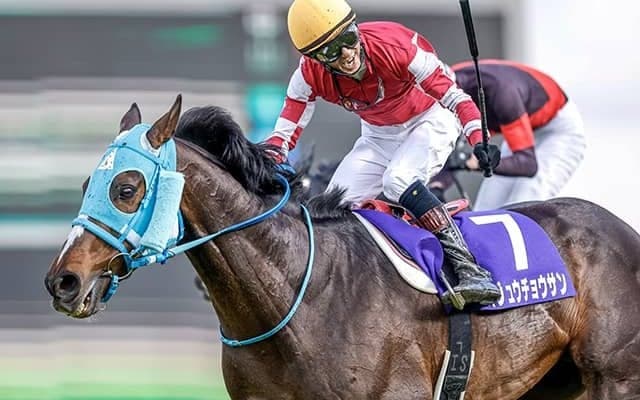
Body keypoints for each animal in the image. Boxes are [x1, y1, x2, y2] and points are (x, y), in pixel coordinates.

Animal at [45, 95, 640, 399]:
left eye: (126, 188)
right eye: (87, 185)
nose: (62, 281)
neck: (298, 298)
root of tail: (622, 230)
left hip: (614, 379)